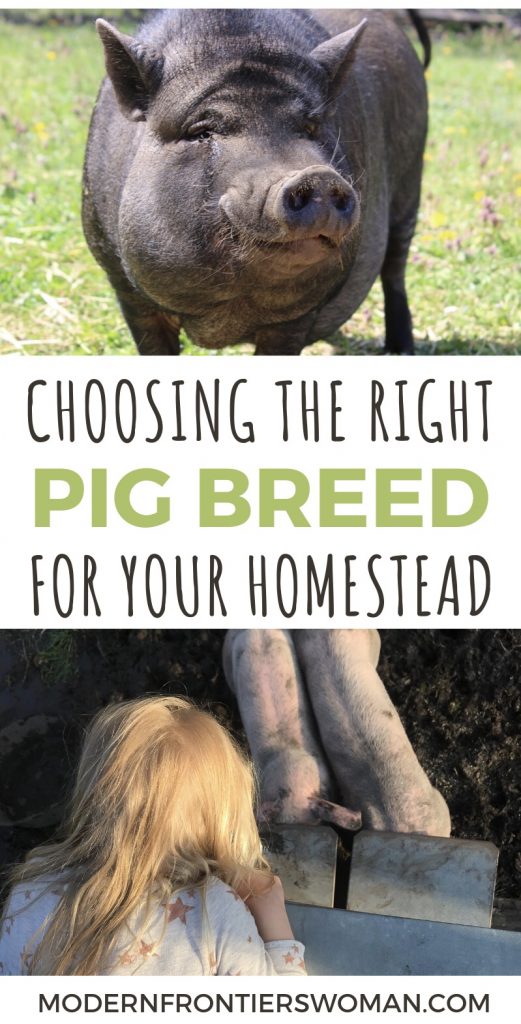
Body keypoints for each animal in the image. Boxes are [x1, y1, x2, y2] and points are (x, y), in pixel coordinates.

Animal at [82, 9, 429, 355]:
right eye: (202, 132)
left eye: (310, 128)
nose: (317, 176)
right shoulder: (123, 285)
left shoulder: (295, 318)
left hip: (411, 182)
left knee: (394, 270)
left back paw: (400, 349)